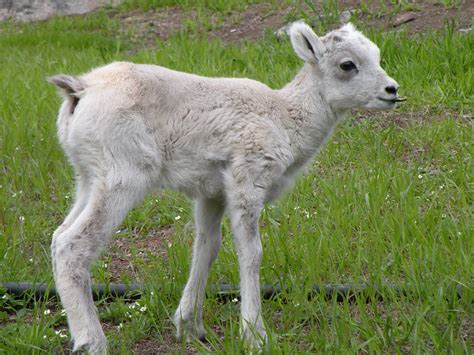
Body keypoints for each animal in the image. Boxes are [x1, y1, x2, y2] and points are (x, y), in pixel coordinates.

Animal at [49, 21, 404, 354]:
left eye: (377, 55)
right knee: (72, 245)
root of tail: (79, 91)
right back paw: (92, 342)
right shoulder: (247, 180)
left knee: (58, 236)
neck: (287, 122)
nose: (392, 89)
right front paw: (256, 336)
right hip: (123, 176)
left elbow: (207, 247)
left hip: (89, 178)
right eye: (347, 65)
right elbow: (251, 252)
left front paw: (189, 329)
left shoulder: (213, 194)